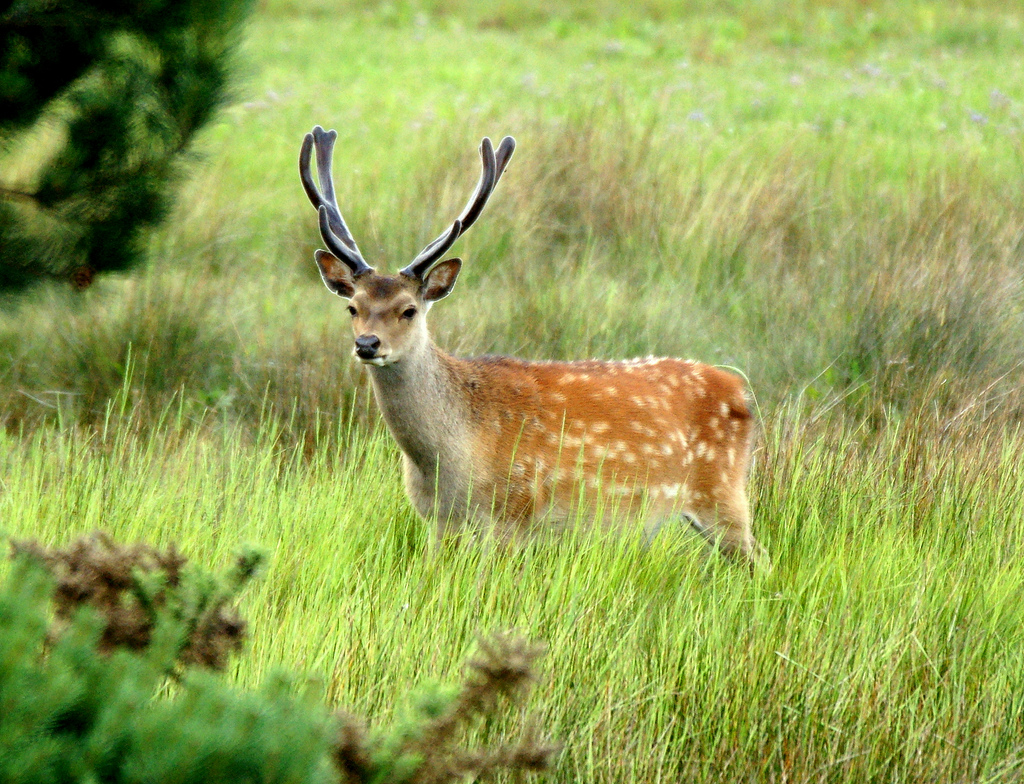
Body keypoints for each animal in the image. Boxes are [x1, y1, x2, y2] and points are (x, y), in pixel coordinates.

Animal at [299, 125, 765, 569]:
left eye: (408, 309)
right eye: (353, 307)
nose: (367, 344)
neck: (447, 463)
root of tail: (741, 392)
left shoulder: (516, 514)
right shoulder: (438, 522)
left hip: (722, 493)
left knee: (760, 559)